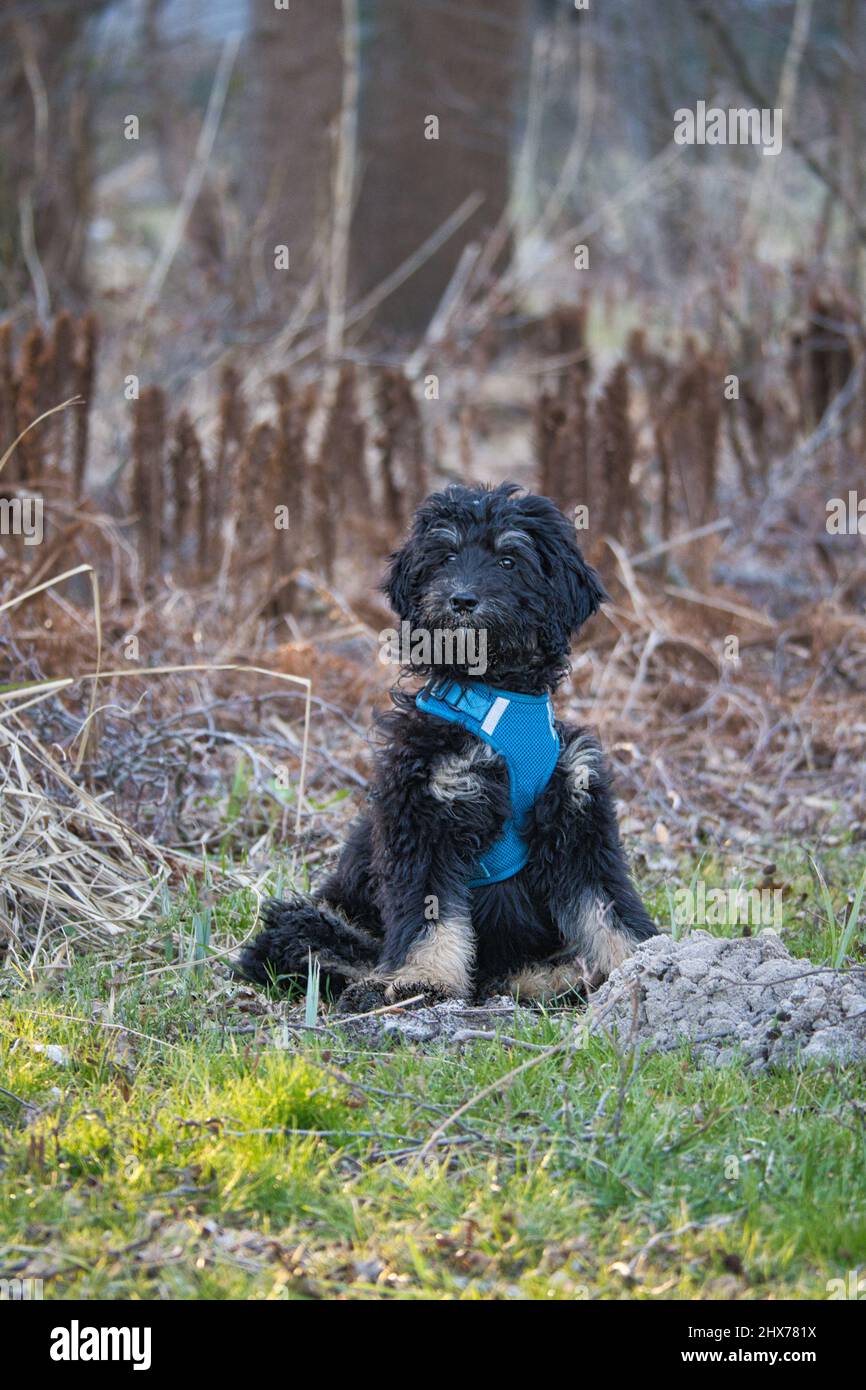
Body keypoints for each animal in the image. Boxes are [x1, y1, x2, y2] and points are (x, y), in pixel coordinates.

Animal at [237, 483, 656, 1006]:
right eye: (447, 555)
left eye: (508, 560)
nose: (461, 599)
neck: (496, 696)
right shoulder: (425, 812)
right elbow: (427, 915)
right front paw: (425, 977)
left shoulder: (577, 812)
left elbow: (607, 905)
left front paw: (643, 959)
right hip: (315, 919)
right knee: (315, 950)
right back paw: (381, 986)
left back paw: (561, 975)